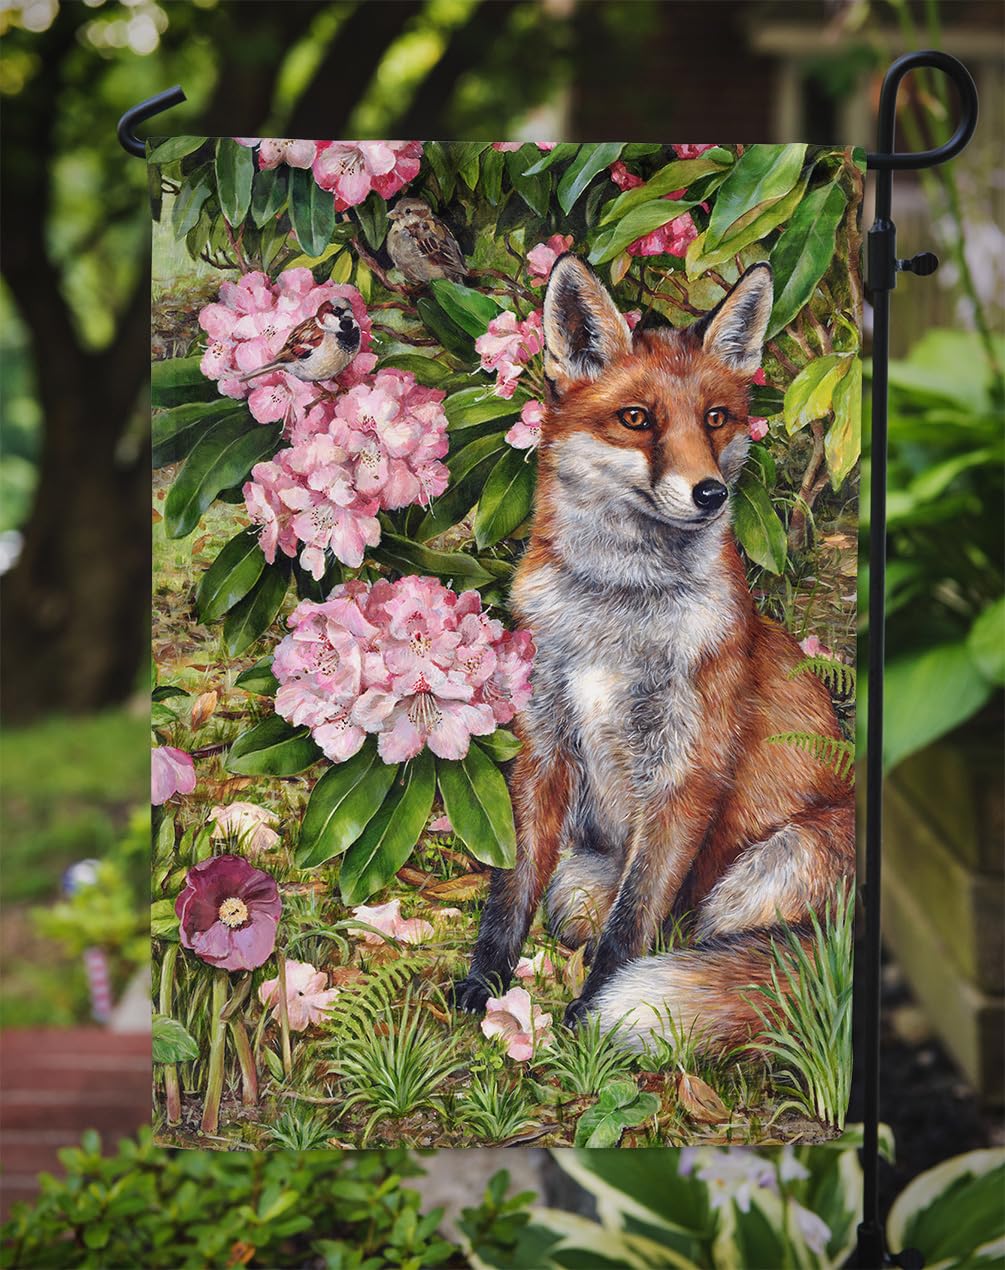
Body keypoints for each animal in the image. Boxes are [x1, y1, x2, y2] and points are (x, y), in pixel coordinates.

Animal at [453, 254, 856, 1053]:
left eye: (716, 418)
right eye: (637, 419)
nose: (710, 493)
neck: (617, 612)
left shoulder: (685, 772)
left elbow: (632, 925)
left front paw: (586, 1018)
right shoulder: (542, 747)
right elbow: (512, 890)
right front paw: (487, 982)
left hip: (773, 864)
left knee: (718, 942)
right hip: (587, 876)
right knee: (578, 905)